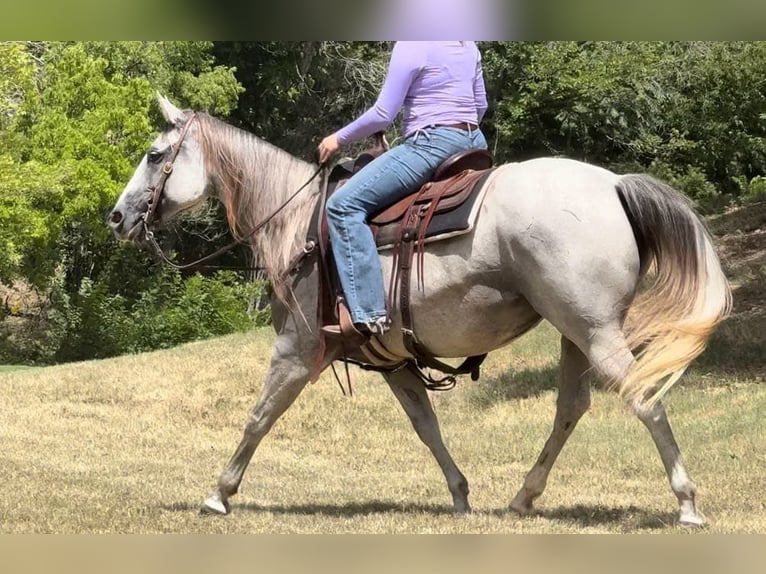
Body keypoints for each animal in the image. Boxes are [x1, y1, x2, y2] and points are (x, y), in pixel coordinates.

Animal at [108, 95, 731, 527]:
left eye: (154, 155)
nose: (116, 217)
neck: (298, 225)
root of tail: (614, 185)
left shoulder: (298, 349)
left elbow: (260, 416)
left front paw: (219, 493)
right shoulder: (393, 360)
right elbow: (426, 425)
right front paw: (460, 495)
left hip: (594, 329)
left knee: (642, 397)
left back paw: (687, 504)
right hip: (575, 332)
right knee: (571, 408)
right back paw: (523, 496)